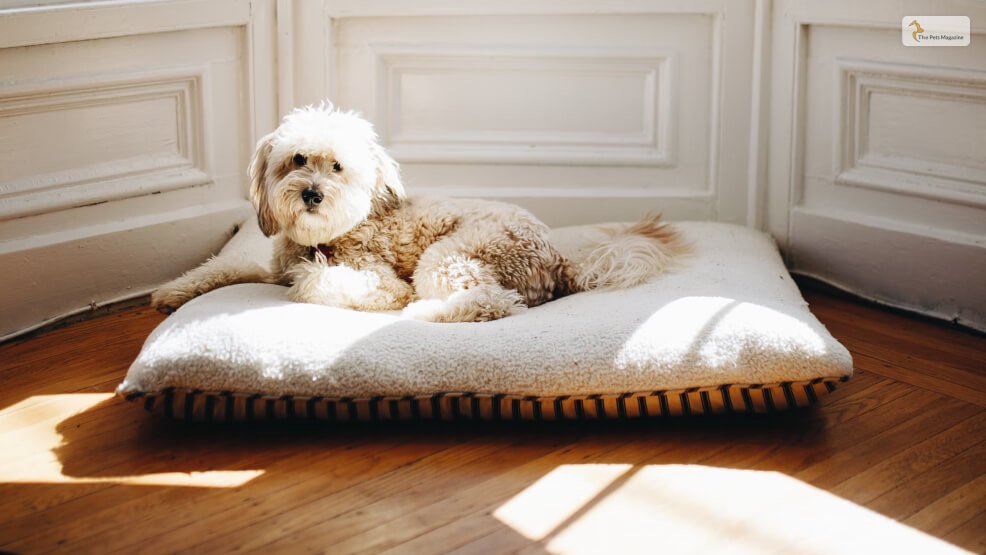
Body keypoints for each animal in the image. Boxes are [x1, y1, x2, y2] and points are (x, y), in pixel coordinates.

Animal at [154, 102, 688, 324]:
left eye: (337, 167)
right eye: (298, 159)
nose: (311, 194)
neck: (324, 237)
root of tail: (557, 258)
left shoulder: (379, 280)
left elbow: (315, 282)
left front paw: (318, 278)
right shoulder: (269, 267)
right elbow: (225, 266)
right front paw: (172, 291)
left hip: (449, 256)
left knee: (493, 303)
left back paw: (425, 312)